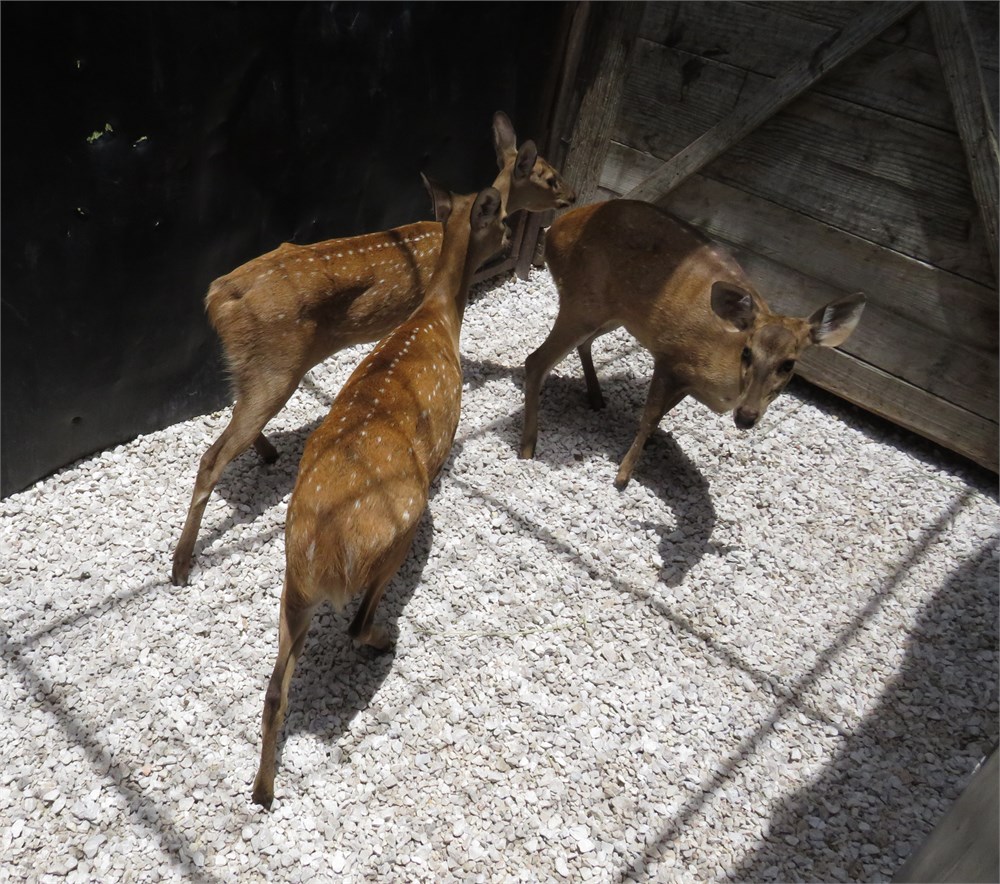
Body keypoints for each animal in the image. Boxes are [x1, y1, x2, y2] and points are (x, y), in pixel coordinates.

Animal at [171, 112, 575, 586]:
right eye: (549, 175)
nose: (572, 195)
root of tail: (218, 297)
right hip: (275, 367)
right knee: (212, 456)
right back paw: (180, 565)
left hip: (251, 370)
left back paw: (268, 455)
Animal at [250, 176, 507, 810]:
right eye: (499, 216)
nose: (516, 234)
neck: (437, 318)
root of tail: (322, 553)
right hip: (396, 534)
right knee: (355, 623)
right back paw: (385, 639)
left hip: (291, 588)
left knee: (274, 691)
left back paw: (263, 792)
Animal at [519, 199, 866, 488]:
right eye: (747, 352)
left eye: (788, 364)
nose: (746, 417)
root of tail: (554, 230)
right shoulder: (670, 357)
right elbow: (650, 417)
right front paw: (622, 477)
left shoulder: (686, 379)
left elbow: (660, 417)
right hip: (582, 301)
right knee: (535, 360)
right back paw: (528, 448)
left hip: (612, 314)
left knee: (581, 345)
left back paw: (595, 398)